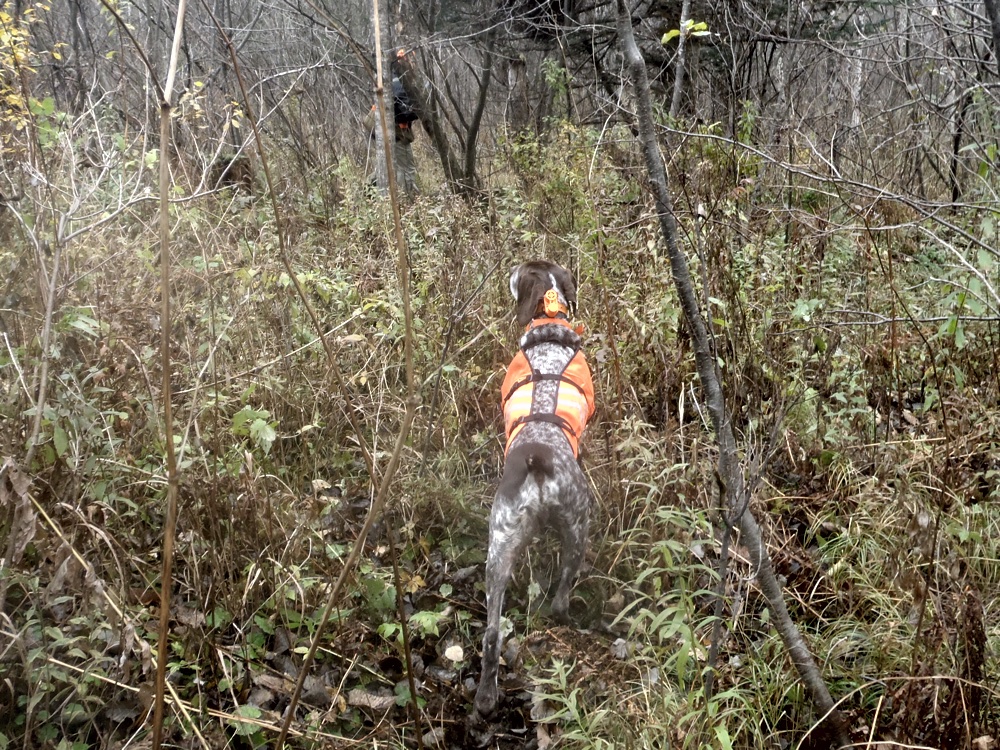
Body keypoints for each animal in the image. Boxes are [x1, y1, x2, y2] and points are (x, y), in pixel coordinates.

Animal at [474, 262, 596, 720]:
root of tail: (538, 458)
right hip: (580, 527)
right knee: (561, 597)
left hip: (499, 548)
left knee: (491, 634)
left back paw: (486, 697)